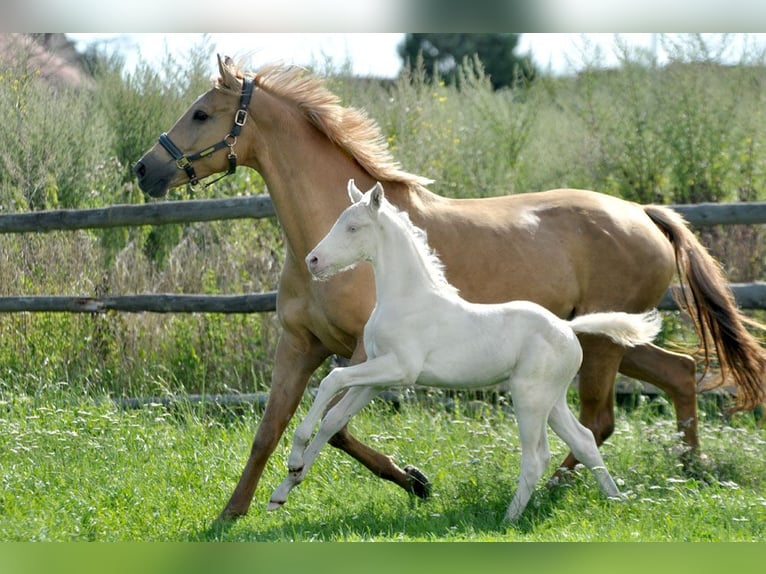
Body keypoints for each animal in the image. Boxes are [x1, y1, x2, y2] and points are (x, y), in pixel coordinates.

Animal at [268, 179, 663, 521]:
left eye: (353, 227)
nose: (313, 261)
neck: (406, 298)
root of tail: (567, 328)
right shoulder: (379, 378)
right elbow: (334, 419)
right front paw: (284, 489)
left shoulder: (399, 368)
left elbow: (331, 380)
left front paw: (294, 457)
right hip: (552, 399)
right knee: (583, 440)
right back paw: (615, 500)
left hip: (529, 396)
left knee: (537, 457)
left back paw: (508, 519)